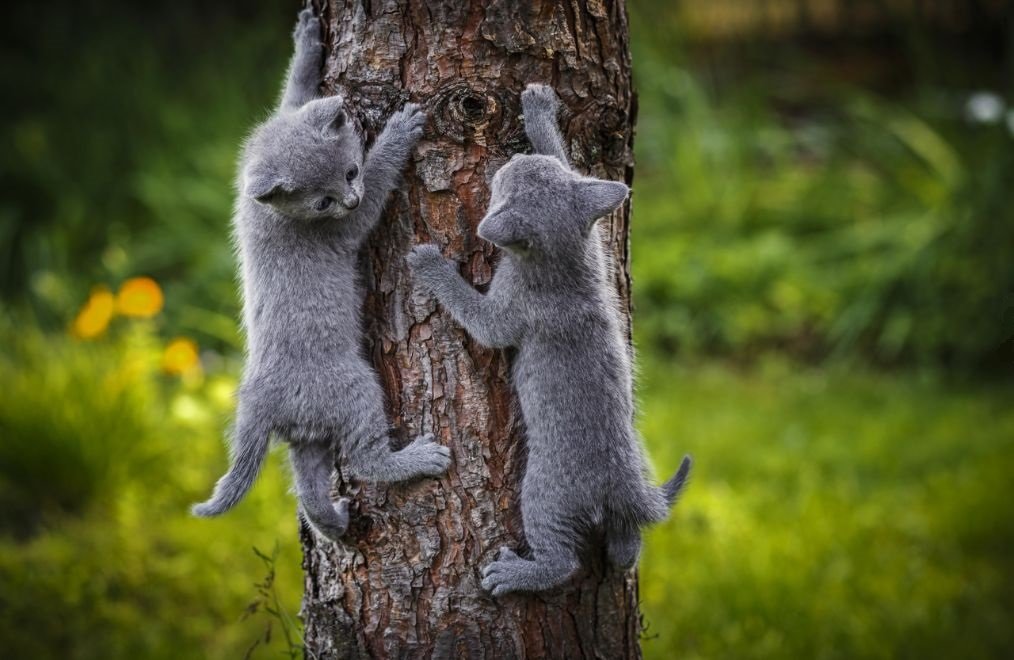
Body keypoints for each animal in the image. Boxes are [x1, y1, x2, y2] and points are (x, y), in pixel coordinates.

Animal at [192, 9, 452, 543]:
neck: (266, 208)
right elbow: (379, 183)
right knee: (367, 458)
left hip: (306, 436)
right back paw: (416, 459)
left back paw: (334, 522)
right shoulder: (346, 229)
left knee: (308, 489)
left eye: (349, 172)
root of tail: (260, 398)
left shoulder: (287, 111)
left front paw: (308, 39)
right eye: (323, 201)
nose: (348, 199)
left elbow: (294, 90)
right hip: (355, 387)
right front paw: (399, 131)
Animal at [407, 84, 693, 600]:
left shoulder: (506, 314)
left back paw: (518, 574)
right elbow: (571, 163)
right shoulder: (596, 243)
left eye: (503, 184)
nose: (512, 157)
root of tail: (625, 485)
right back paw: (625, 549)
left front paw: (430, 264)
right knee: (626, 542)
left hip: (542, 495)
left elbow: (479, 317)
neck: (564, 264)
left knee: (563, 561)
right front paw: (540, 111)